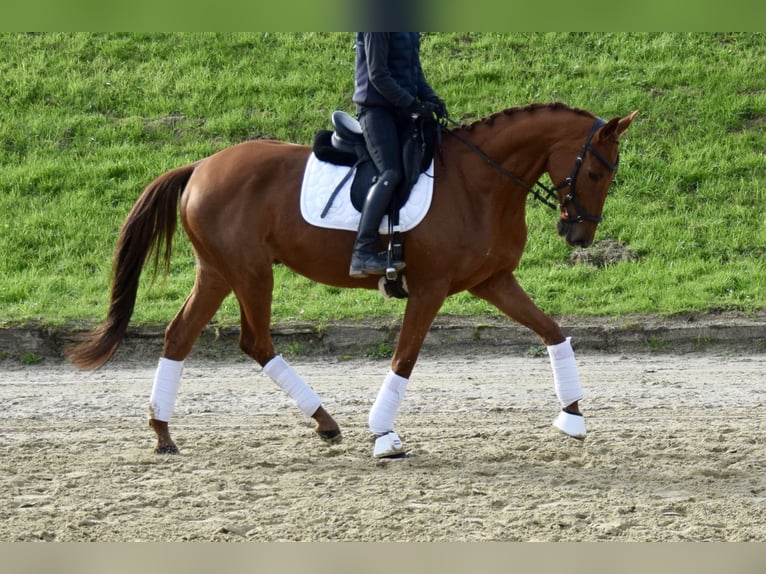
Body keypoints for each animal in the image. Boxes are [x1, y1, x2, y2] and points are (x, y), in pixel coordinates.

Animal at [68, 102, 638, 458]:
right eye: (595, 171)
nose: (579, 236)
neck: (481, 183)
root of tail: (202, 165)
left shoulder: (492, 280)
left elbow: (552, 331)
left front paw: (572, 415)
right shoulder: (429, 289)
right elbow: (404, 358)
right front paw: (384, 435)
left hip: (217, 272)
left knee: (179, 337)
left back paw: (165, 432)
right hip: (249, 271)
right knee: (254, 340)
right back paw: (322, 420)